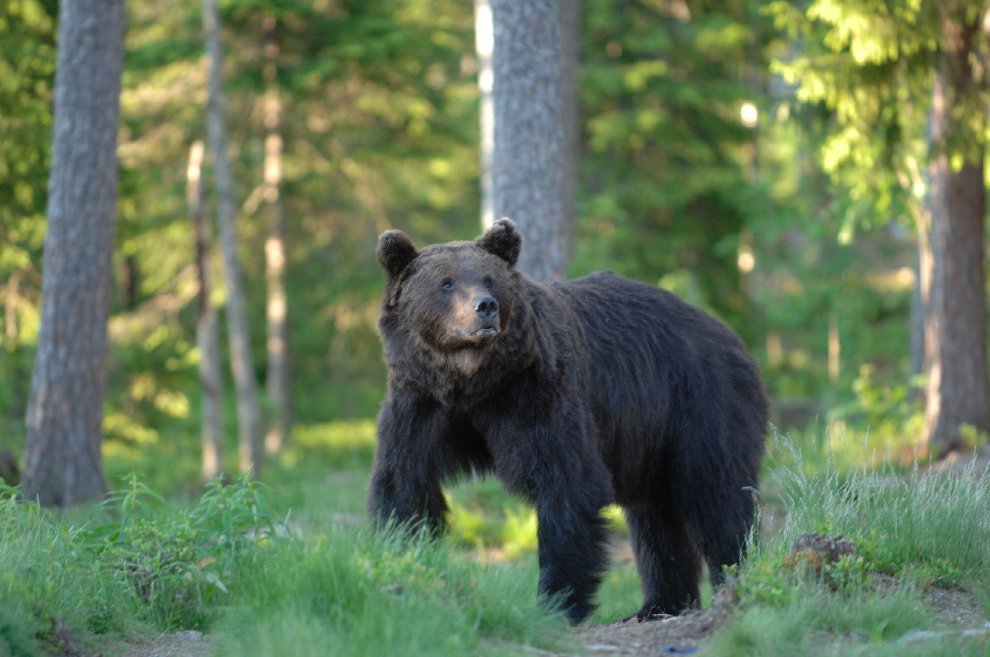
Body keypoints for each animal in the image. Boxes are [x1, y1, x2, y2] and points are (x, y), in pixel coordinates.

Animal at [368, 219, 772, 620]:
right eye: (446, 282)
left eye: (488, 278)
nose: (485, 307)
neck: (474, 382)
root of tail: (729, 336)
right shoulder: (422, 405)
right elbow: (404, 480)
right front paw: (401, 557)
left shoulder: (538, 393)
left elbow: (567, 483)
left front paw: (556, 601)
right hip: (650, 440)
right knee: (656, 517)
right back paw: (659, 605)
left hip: (701, 402)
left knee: (716, 495)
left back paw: (735, 579)